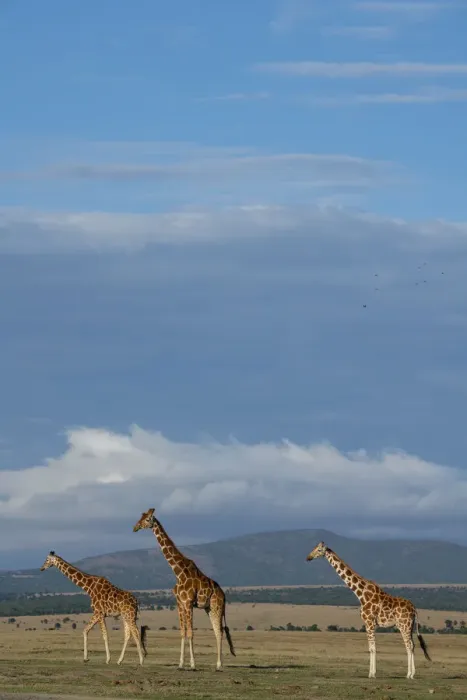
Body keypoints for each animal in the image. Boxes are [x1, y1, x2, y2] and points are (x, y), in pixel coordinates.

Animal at [133, 507, 236, 671]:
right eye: (141, 517)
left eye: (148, 519)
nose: (135, 527)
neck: (178, 572)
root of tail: (224, 595)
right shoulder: (179, 603)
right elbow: (182, 632)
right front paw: (181, 664)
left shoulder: (188, 603)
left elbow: (190, 633)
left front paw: (193, 664)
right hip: (209, 608)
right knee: (217, 631)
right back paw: (217, 663)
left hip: (217, 606)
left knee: (219, 632)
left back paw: (219, 665)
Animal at [306, 542, 431, 679]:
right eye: (313, 548)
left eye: (319, 550)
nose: (308, 557)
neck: (361, 594)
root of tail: (414, 609)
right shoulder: (369, 623)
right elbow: (371, 648)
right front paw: (372, 672)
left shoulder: (369, 622)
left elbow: (372, 648)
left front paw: (372, 674)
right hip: (409, 626)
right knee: (413, 645)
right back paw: (411, 673)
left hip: (404, 625)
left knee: (409, 645)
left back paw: (409, 674)